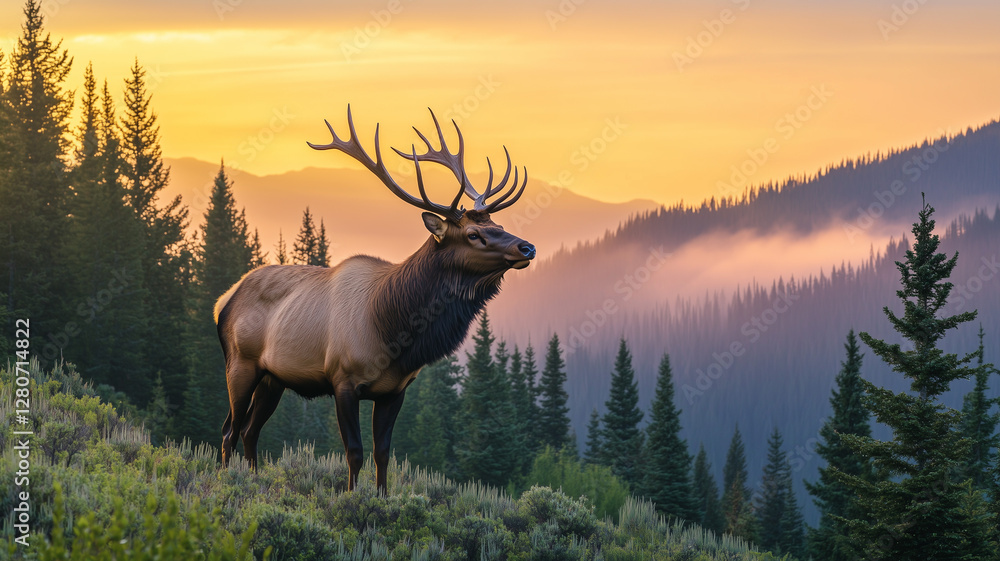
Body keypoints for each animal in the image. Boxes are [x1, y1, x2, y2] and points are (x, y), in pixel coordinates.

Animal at [214, 107, 535, 494]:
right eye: (474, 234)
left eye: (498, 226)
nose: (527, 247)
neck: (393, 330)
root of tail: (223, 301)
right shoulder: (343, 380)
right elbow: (354, 452)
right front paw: (352, 496)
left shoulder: (395, 390)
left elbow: (383, 454)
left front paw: (381, 498)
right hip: (240, 363)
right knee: (229, 430)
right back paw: (228, 482)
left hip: (273, 378)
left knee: (250, 430)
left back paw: (254, 480)